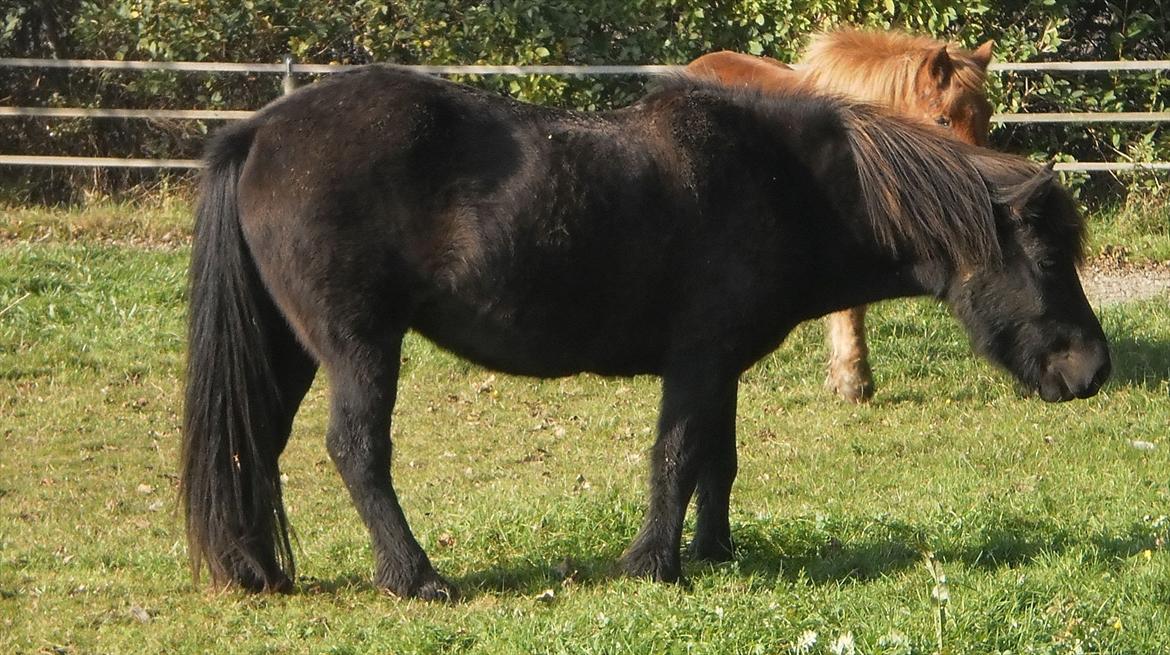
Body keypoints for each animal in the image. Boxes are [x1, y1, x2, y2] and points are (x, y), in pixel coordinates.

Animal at [177, 66, 1109, 598]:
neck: (782, 184)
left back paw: (259, 571)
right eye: (1047, 258)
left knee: (253, 444)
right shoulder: (695, 363)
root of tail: (258, 131)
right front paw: (653, 563)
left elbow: (718, 460)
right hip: (360, 346)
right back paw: (417, 578)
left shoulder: (722, 365)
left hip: (290, 349)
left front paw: (716, 550)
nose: (1092, 368)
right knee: (356, 450)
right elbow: (677, 454)